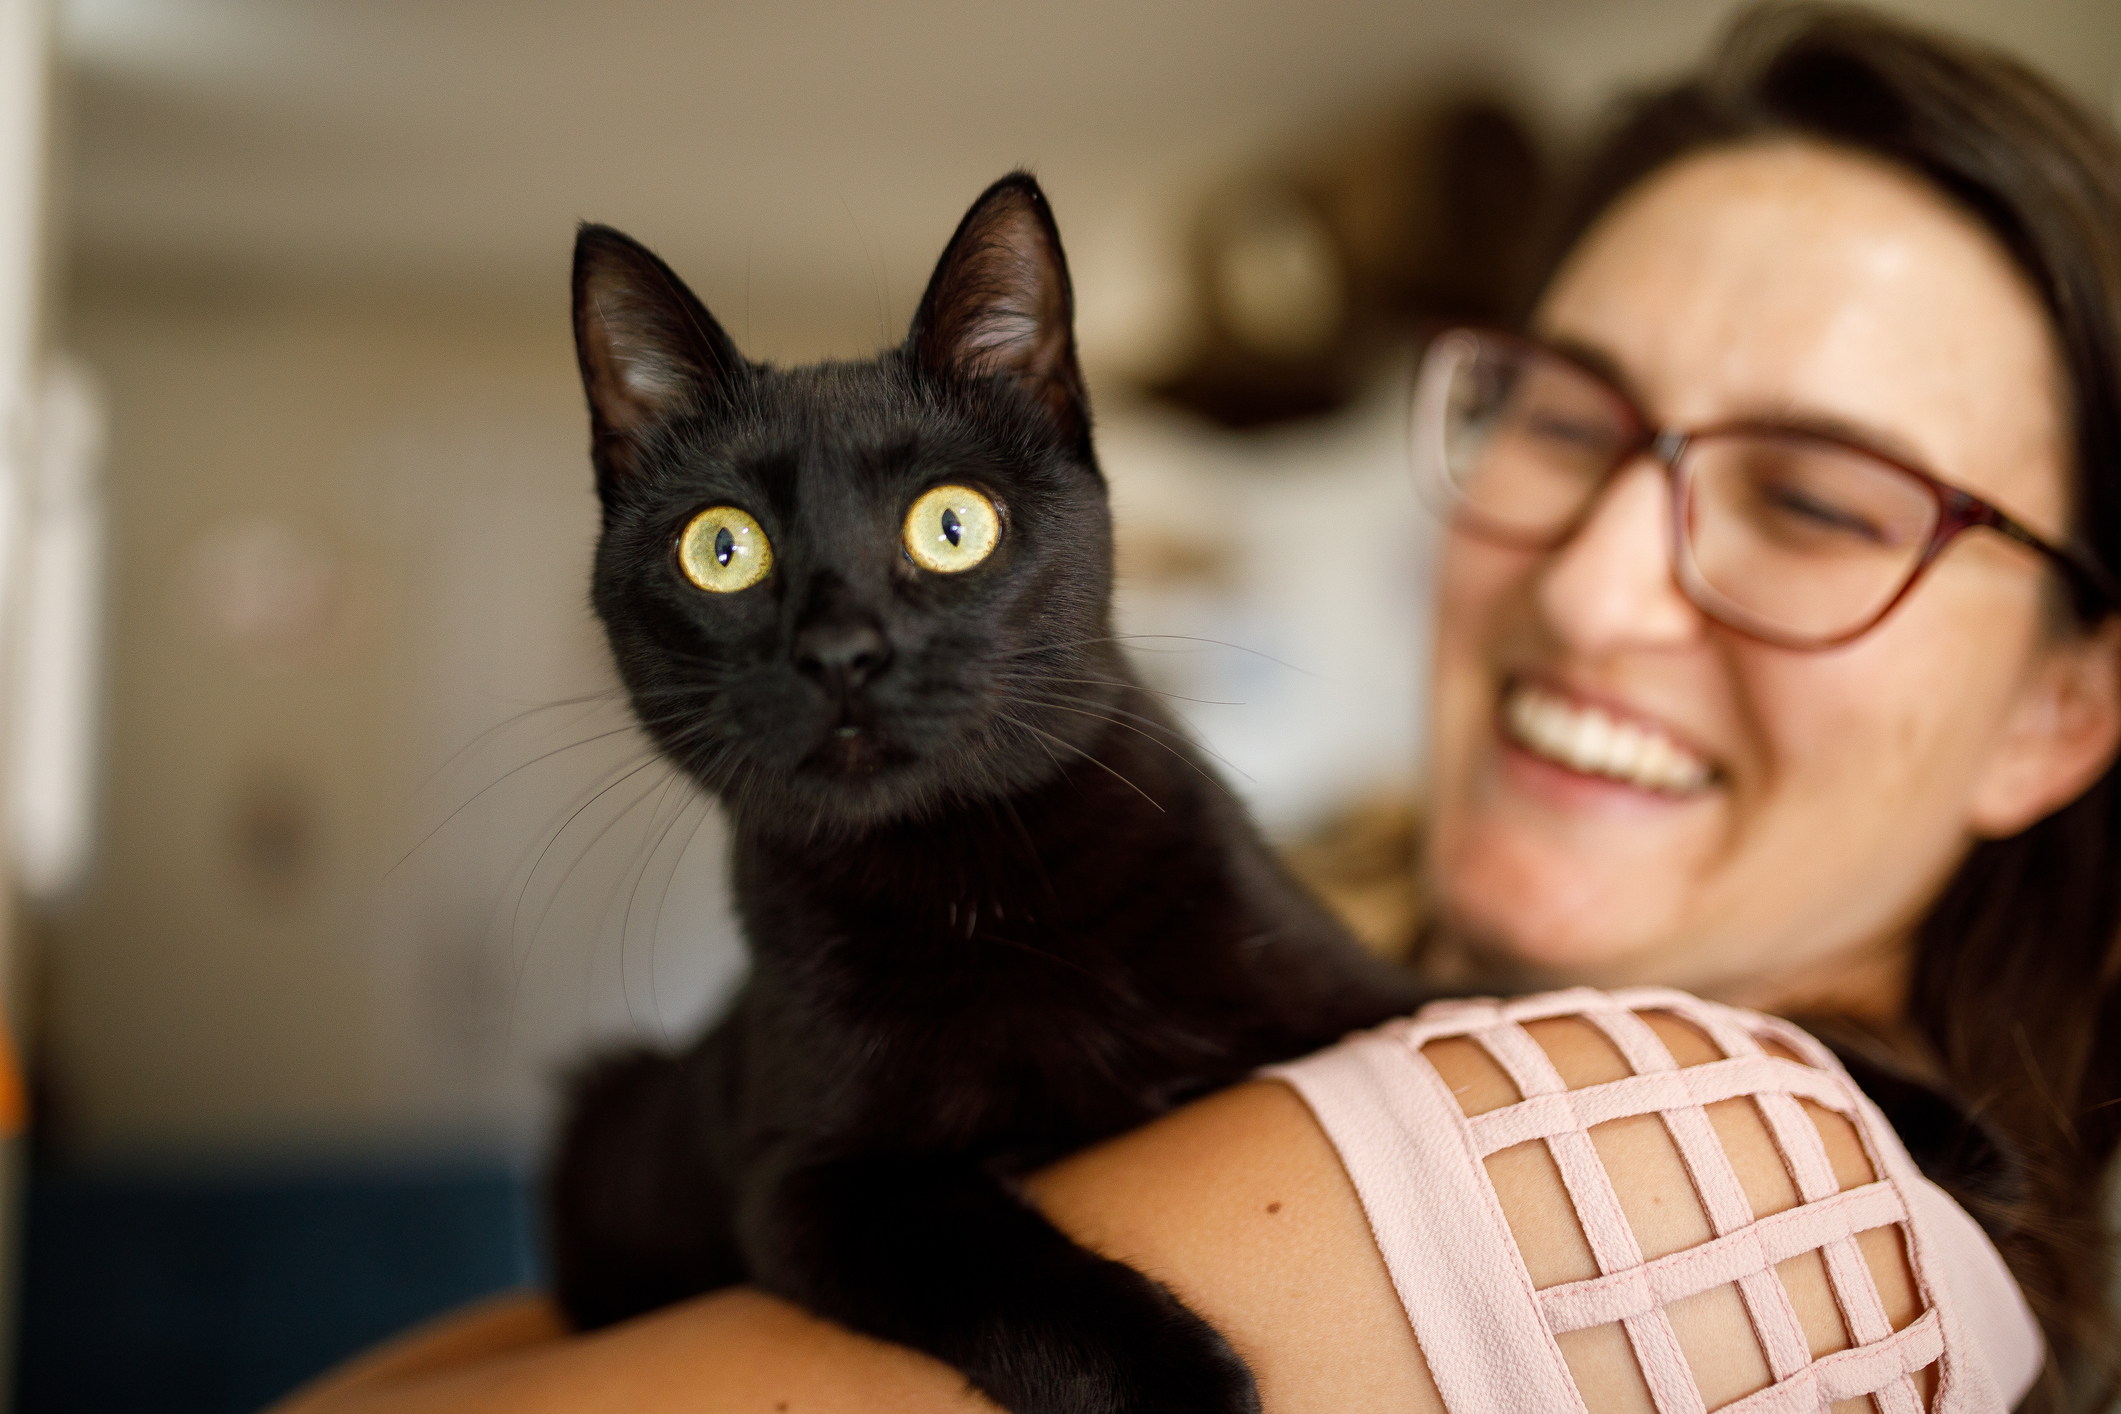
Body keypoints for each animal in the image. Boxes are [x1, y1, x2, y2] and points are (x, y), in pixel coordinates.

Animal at [555, 173, 1433, 1414]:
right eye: (722, 549)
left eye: (952, 524)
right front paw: (1178, 1386)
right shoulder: (808, 1185)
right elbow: (999, 1266)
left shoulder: (1378, 998)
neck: (978, 876)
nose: (841, 650)